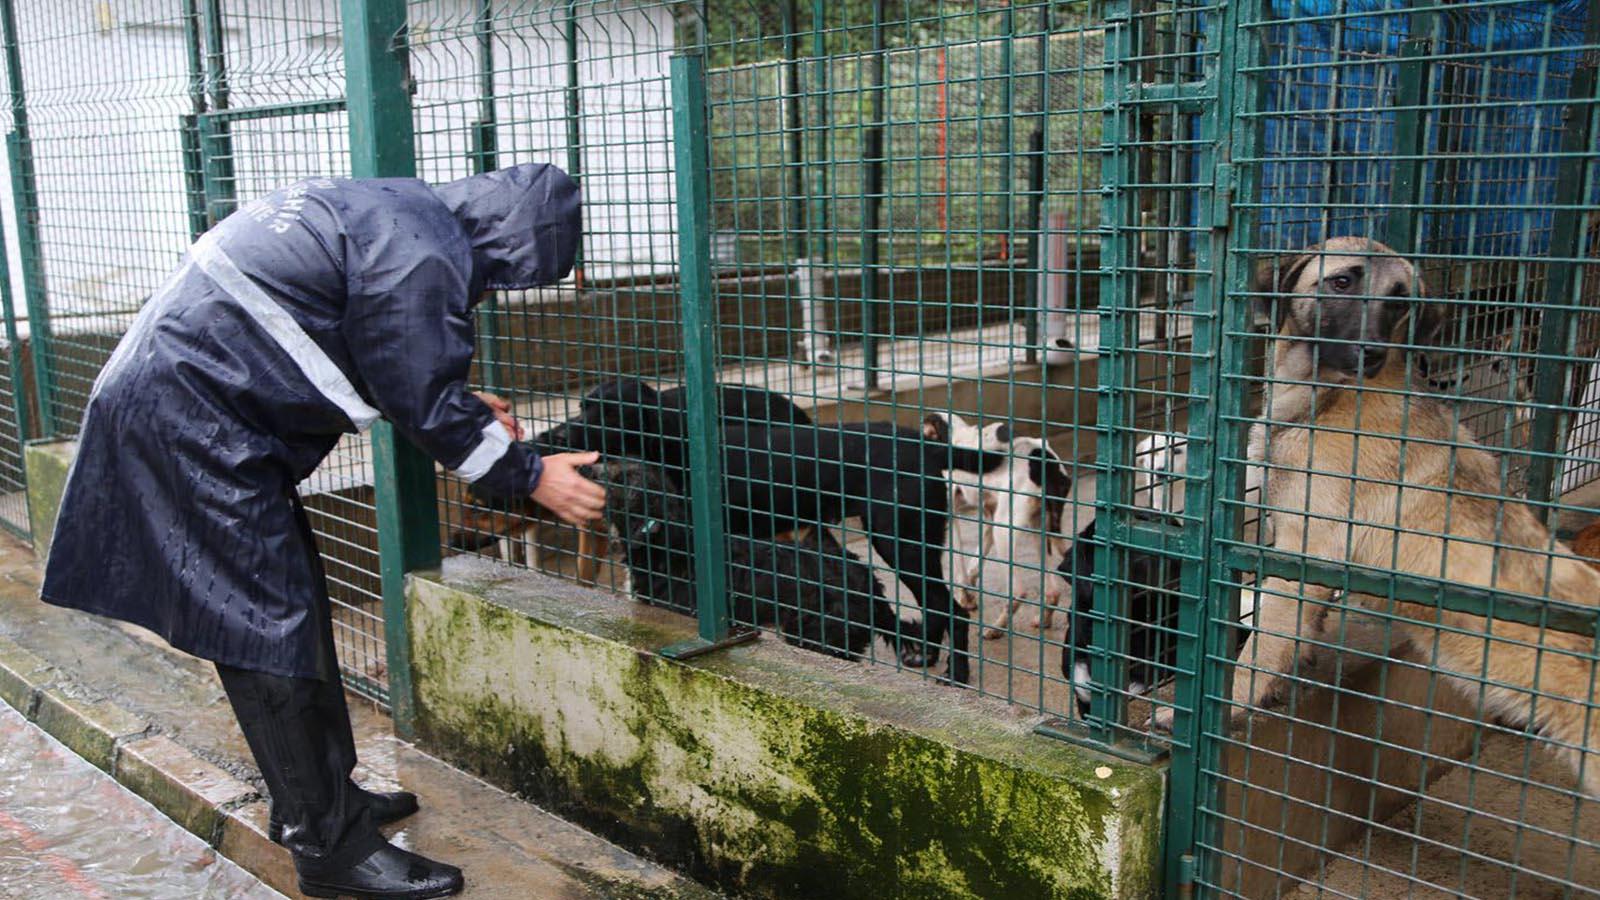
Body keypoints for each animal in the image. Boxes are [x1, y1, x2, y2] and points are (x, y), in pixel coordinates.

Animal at [1164, 235, 1600, 794]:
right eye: (1342, 282)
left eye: (1400, 300)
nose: (1370, 352)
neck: (1330, 397)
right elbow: (1296, 638)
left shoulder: (1302, 556)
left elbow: (1258, 649)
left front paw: (1230, 705)